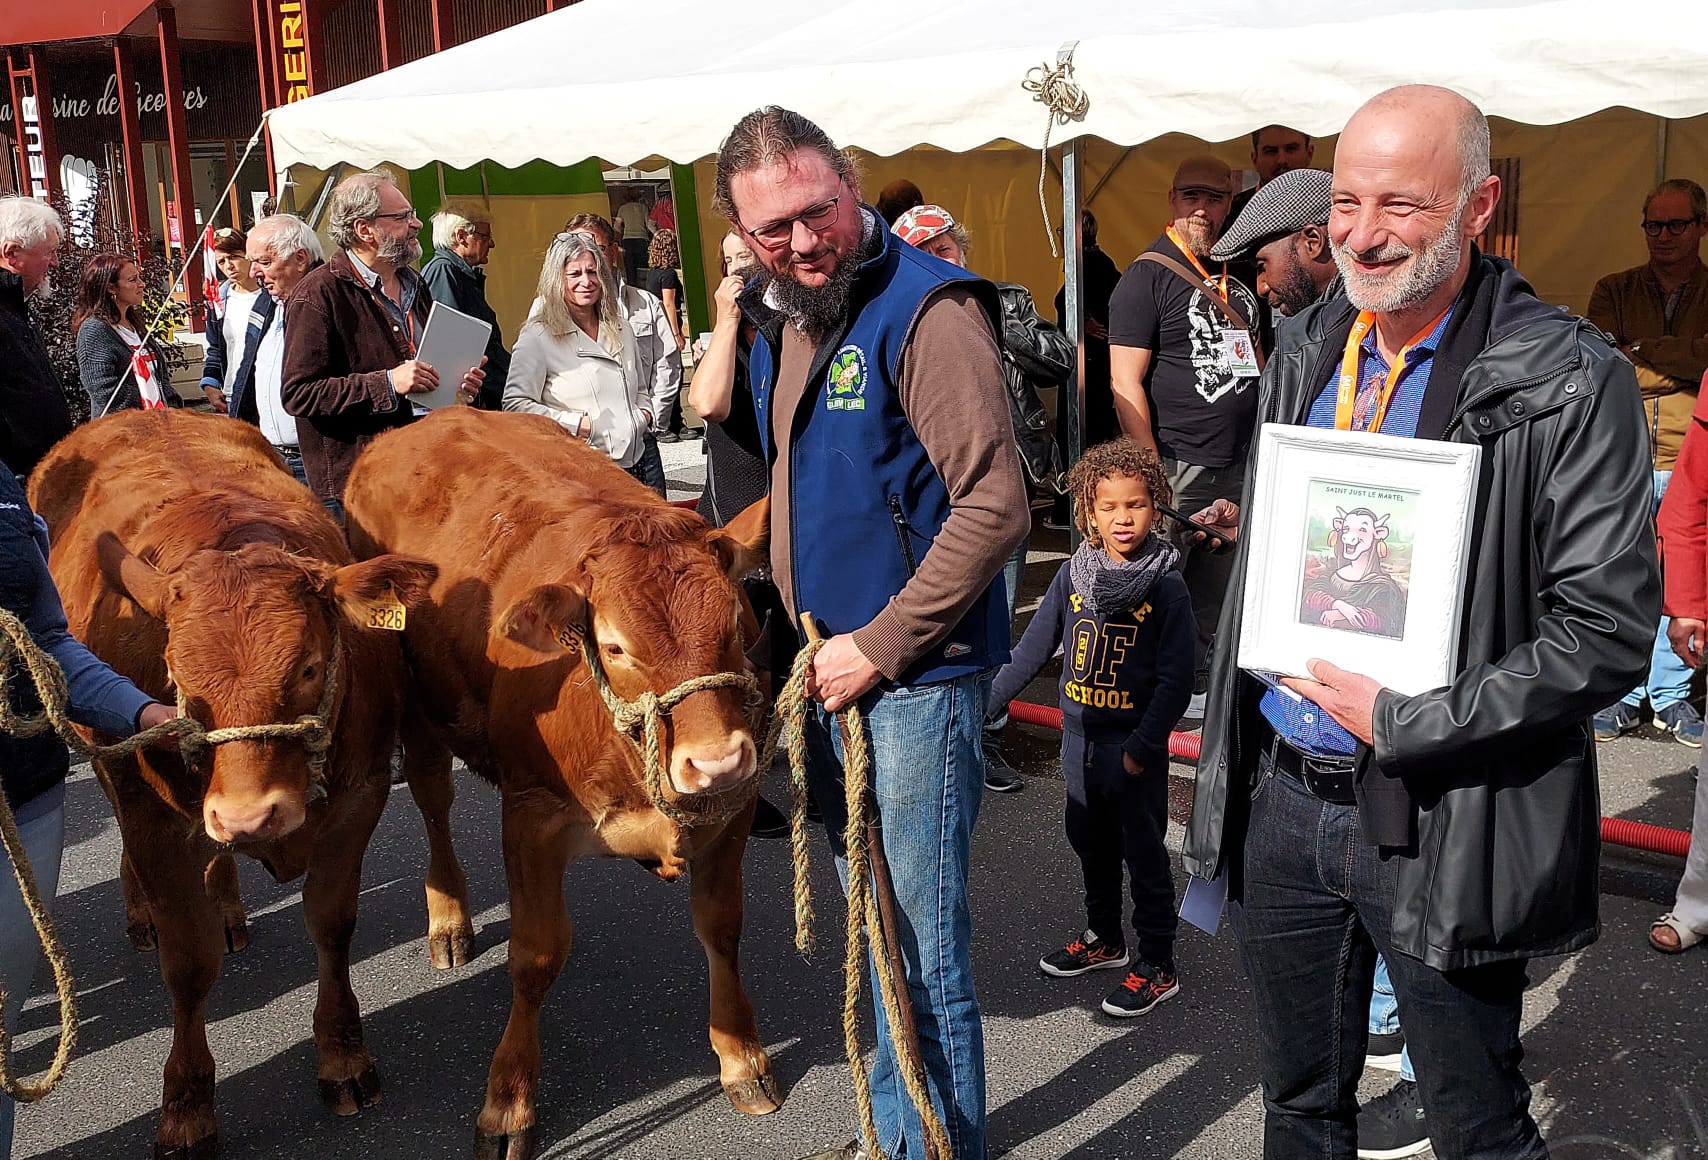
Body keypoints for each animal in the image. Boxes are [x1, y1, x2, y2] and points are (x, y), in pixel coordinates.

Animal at [33, 413, 461, 1154]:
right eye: (178, 675)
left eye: (311, 667)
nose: (246, 817)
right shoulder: (155, 820)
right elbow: (188, 961)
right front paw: (186, 1105)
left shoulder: (360, 798)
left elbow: (331, 924)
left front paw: (343, 1055)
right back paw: (146, 911)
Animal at [345, 410, 782, 1160]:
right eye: (614, 646)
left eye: (734, 623)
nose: (718, 762)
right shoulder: (531, 814)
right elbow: (537, 954)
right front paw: (508, 1100)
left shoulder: (734, 812)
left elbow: (722, 928)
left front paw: (740, 1056)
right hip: (413, 697)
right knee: (432, 798)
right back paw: (448, 917)